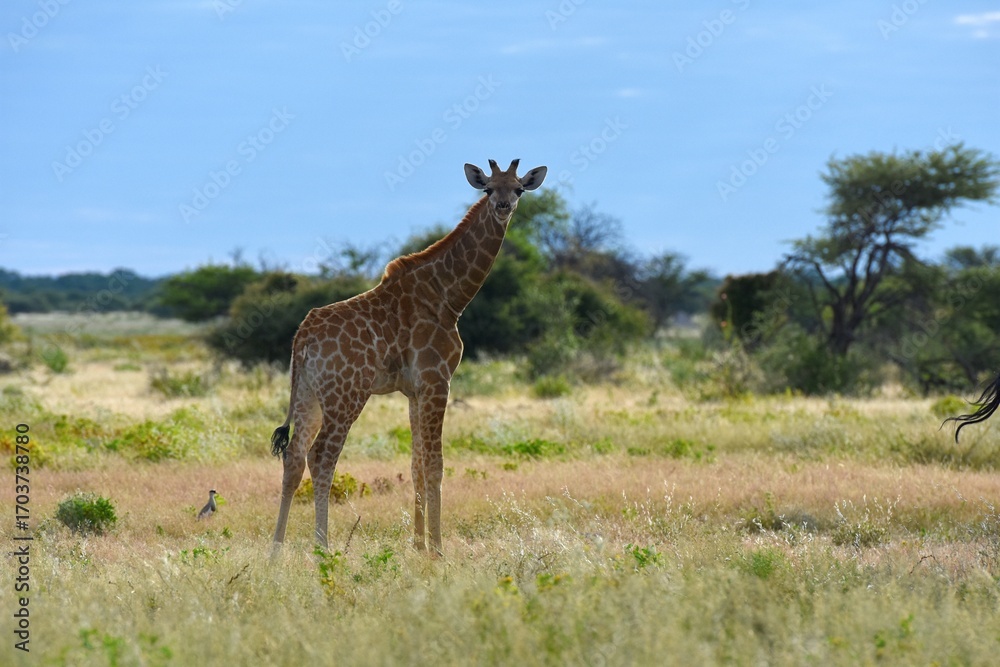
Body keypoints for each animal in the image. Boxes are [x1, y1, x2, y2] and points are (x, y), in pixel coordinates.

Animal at [269, 158, 547, 556]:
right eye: (489, 188)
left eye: (519, 189)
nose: (503, 207)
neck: (449, 298)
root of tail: (302, 339)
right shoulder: (437, 380)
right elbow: (435, 464)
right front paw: (438, 550)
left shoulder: (414, 390)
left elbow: (416, 464)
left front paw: (418, 547)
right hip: (346, 394)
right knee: (321, 457)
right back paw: (323, 548)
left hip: (309, 393)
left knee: (293, 456)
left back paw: (275, 552)